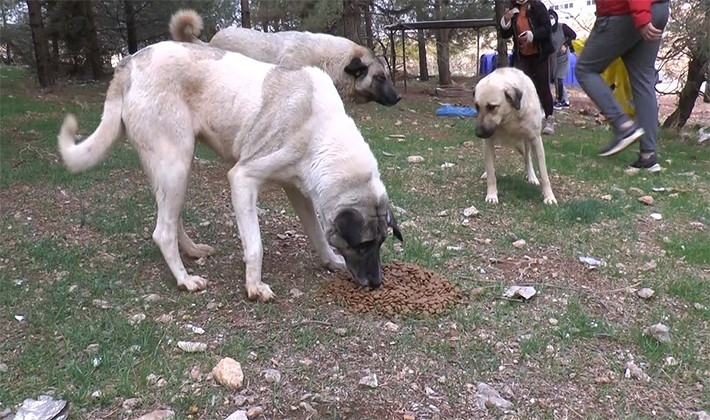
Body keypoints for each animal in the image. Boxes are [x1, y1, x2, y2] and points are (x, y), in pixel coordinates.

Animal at [58, 41, 404, 302]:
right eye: (363, 245)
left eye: (381, 243)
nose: (376, 283)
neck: (321, 132)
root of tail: (128, 63)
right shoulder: (243, 178)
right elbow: (255, 245)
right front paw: (255, 286)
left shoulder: (299, 191)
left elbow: (317, 232)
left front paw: (330, 261)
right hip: (176, 163)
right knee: (162, 231)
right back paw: (185, 279)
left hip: (175, 169)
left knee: (170, 217)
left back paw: (192, 251)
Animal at [476, 67, 560, 205]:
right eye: (476, 106)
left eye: (492, 107)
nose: (478, 133)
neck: (510, 117)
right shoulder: (488, 142)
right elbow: (491, 175)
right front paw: (492, 194)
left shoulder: (536, 140)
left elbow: (544, 174)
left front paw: (549, 196)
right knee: (492, 160)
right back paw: (486, 173)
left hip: (524, 143)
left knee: (527, 158)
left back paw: (531, 176)